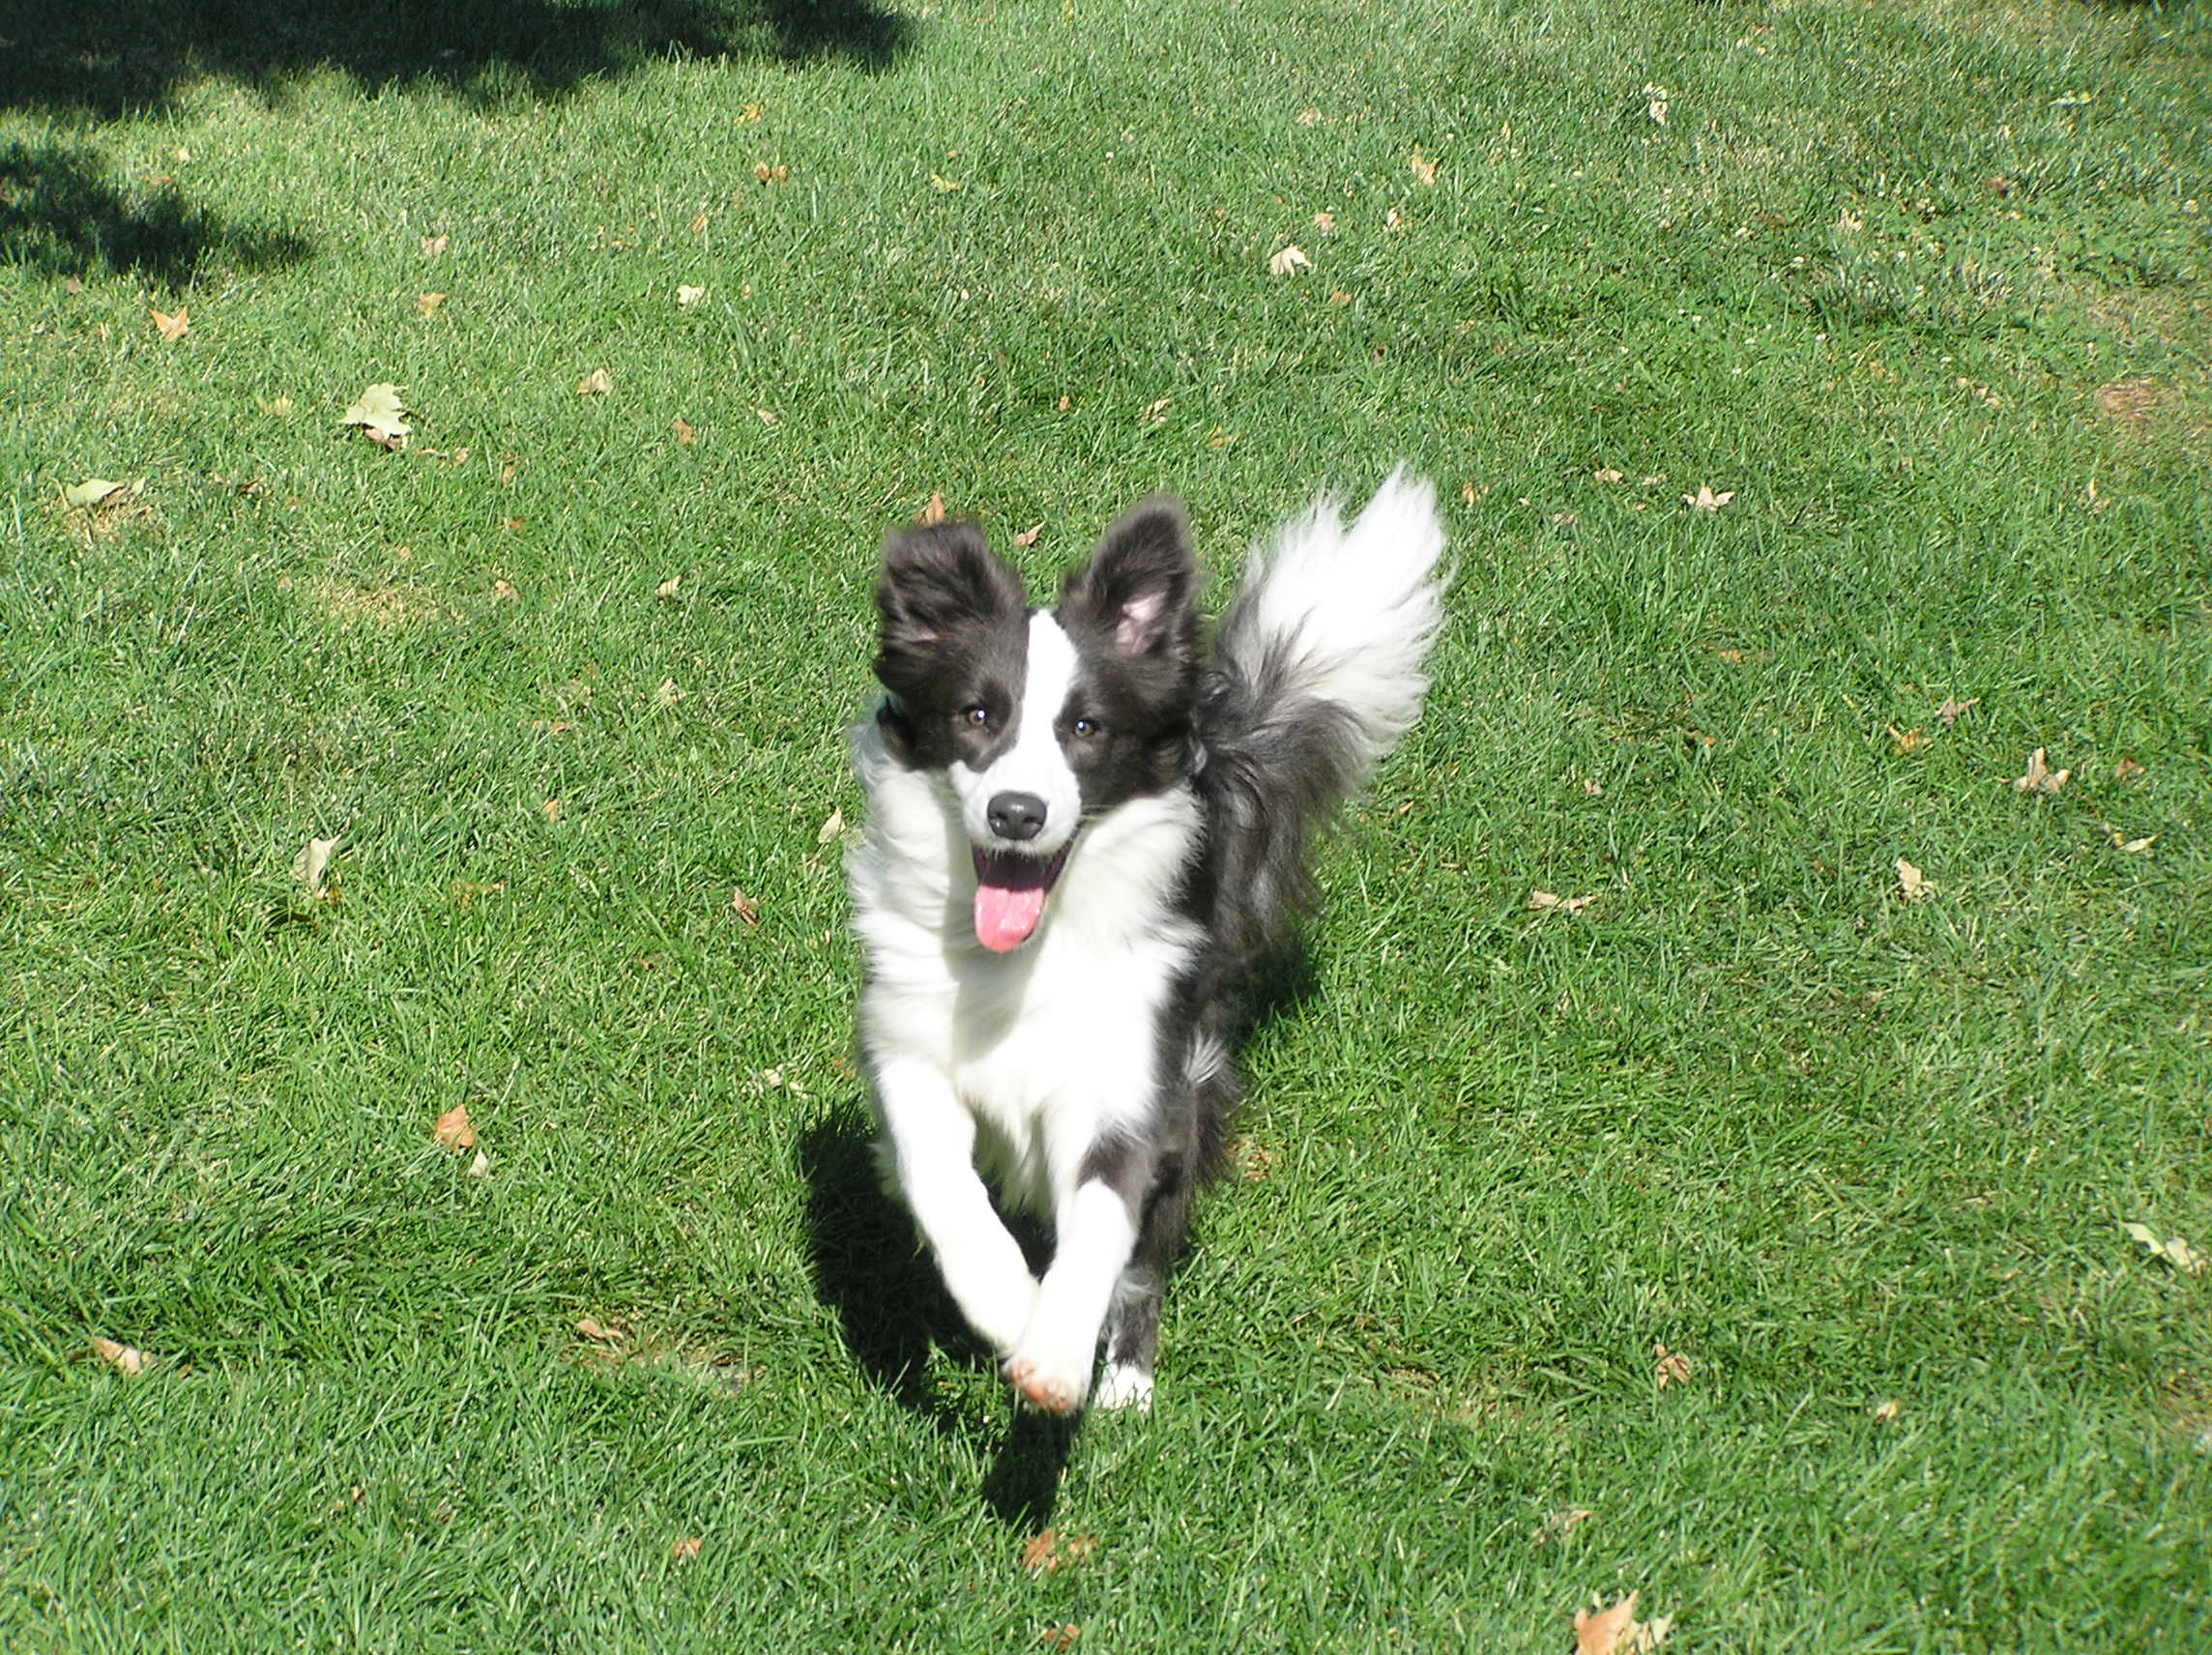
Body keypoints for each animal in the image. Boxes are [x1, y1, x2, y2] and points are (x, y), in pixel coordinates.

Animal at [845, 471, 1450, 1415]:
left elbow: (1103, 1227)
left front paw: (1056, 1354)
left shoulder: (1128, 1087)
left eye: (1086, 729)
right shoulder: (904, 1045)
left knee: (1146, 1257)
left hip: (1194, 1082)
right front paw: (1006, 1302)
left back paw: (1126, 1381)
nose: (1016, 813)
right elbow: (941, 1181)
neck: (1025, 955)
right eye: (977, 714)